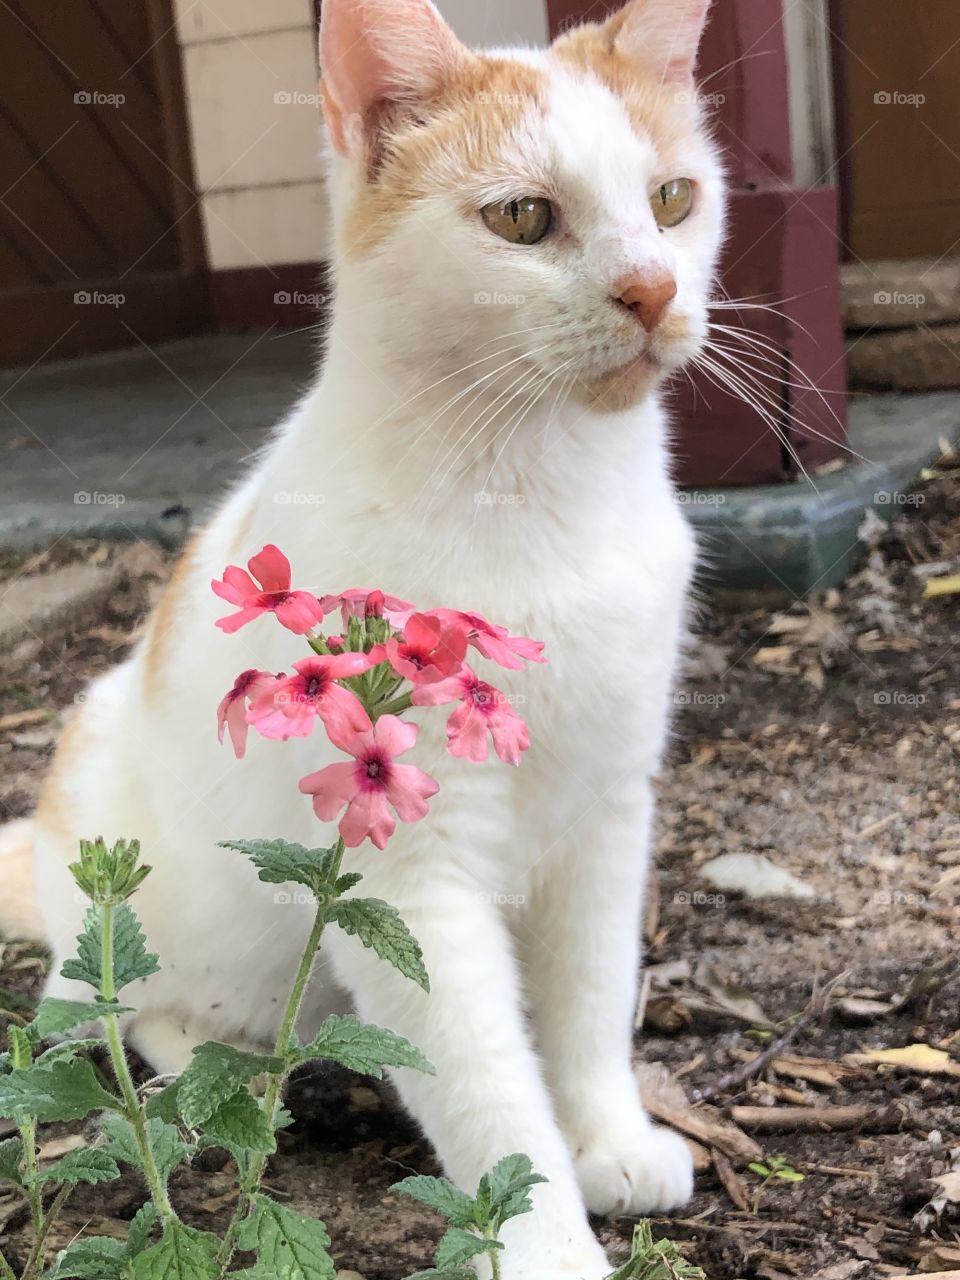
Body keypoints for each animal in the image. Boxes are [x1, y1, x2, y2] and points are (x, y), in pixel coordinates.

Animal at [0, 0, 727, 1274]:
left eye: (675, 198)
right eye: (524, 217)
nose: (652, 287)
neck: (542, 487)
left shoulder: (608, 814)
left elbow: (591, 1003)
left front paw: (609, 1134)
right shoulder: (406, 876)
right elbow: (489, 1089)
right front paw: (546, 1242)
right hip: (132, 906)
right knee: (124, 1018)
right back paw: (232, 1069)